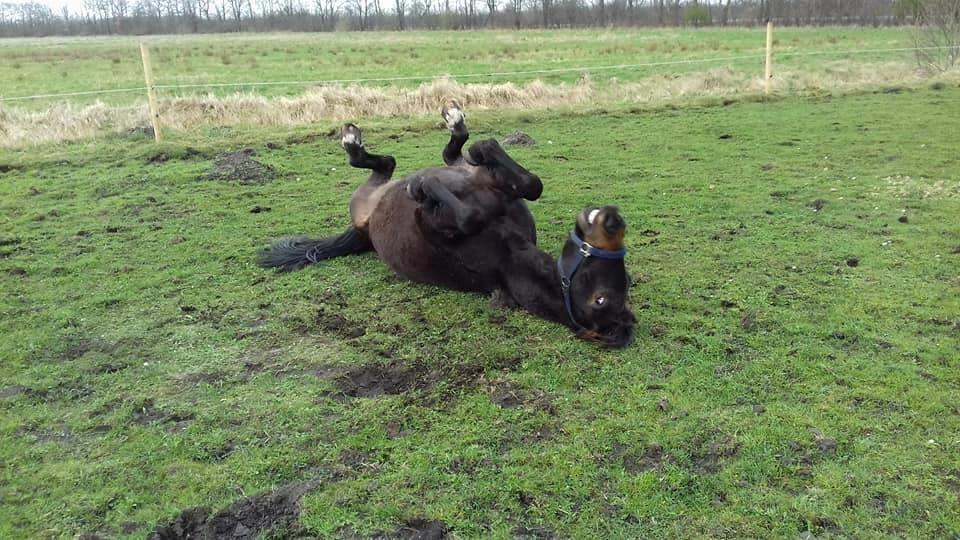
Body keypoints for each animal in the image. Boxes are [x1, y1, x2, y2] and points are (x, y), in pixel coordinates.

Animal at [258, 102, 636, 348]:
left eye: (602, 300)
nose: (613, 219)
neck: (509, 251)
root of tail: (364, 229)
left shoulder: (438, 222)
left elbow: (468, 214)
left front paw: (421, 186)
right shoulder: (498, 186)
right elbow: (531, 183)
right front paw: (482, 151)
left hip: (363, 199)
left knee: (391, 164)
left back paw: (360, 147)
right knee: (430, 158)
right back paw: (450, 126)